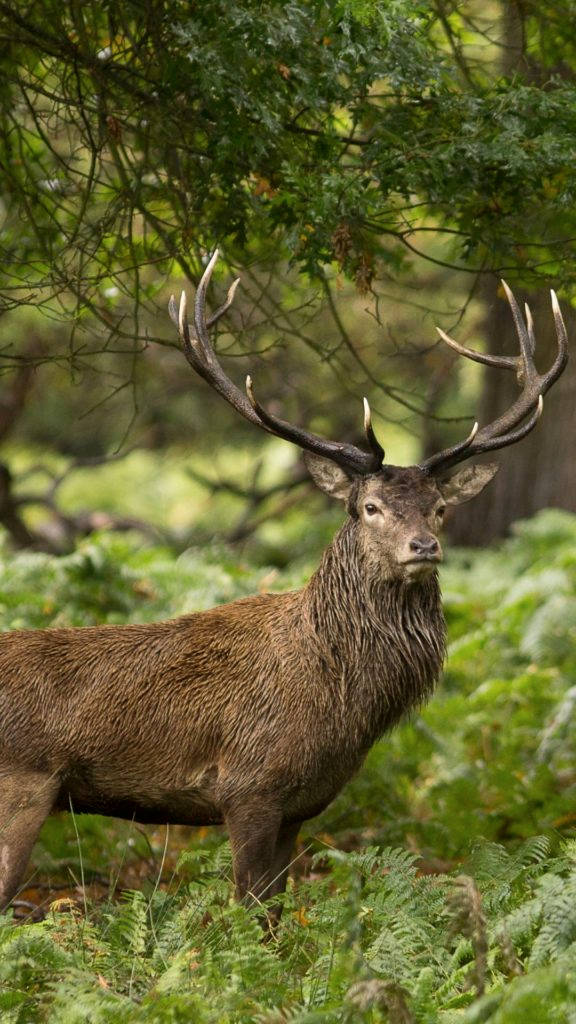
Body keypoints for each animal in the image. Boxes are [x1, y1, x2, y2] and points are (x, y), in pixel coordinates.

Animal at [0, 251, 565, 925]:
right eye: (369, 507)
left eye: (440, 508)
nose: (424, 548)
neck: (342, 702)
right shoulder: (248, 787)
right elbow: (247, 914)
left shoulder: (301, 807)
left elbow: (274, 917)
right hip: (21, 783)